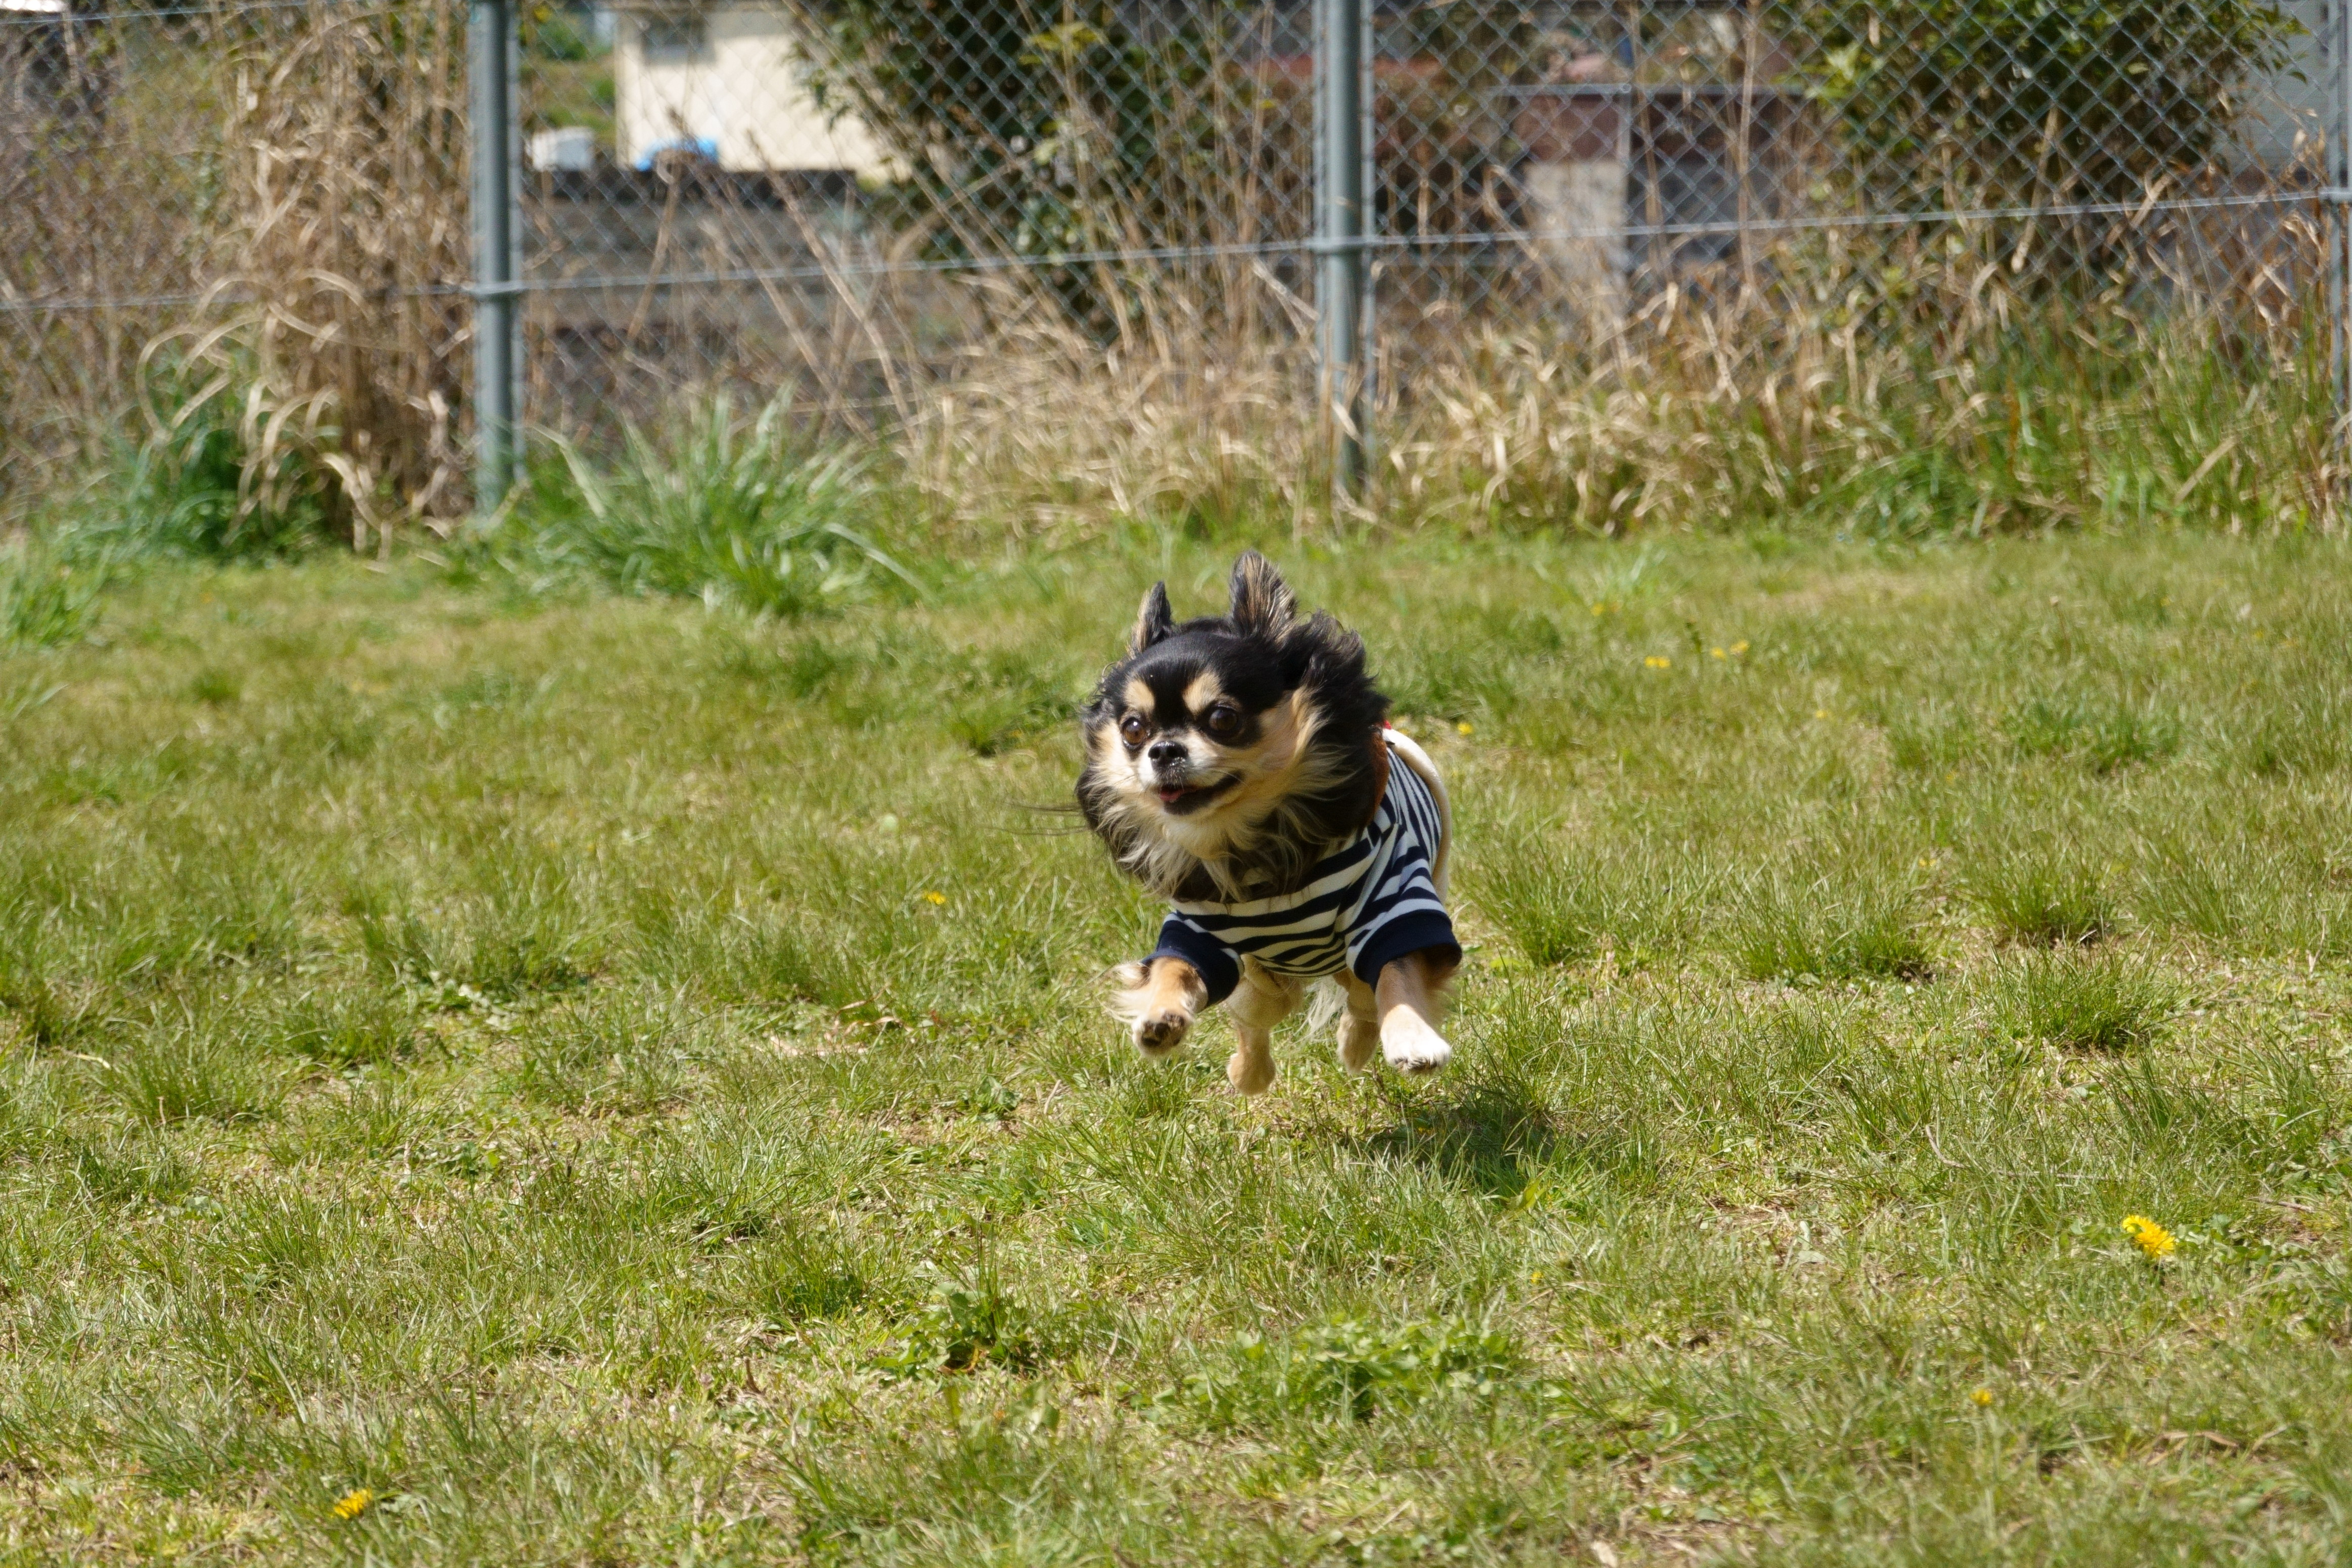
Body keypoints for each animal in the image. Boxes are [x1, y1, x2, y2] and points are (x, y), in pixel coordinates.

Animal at [1077, 557, 1449, 1100]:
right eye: (1133, 729)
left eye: (1222, 718)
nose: (1163, 749)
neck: (1253, 839)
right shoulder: (1200, 930)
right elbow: (1174, 965)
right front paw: (1160, 1016)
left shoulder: (1395, 901)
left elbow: (1396, 971)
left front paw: (1413, 1036)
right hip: (1263, 980)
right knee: (1257, 1020)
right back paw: (1249, 1073)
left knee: (1362, 996)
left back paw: (1355, 1046)